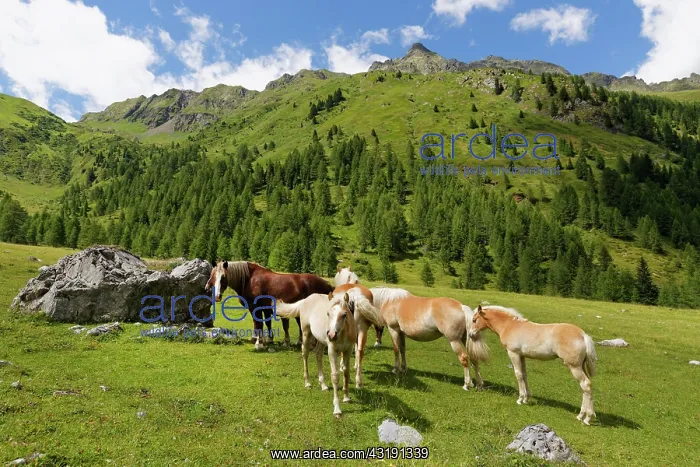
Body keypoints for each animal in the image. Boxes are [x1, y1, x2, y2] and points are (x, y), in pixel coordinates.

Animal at [205, 261, 333, 349]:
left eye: (223, 277)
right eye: (213, 275)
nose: (217, 296)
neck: (249, 280)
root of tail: (327, 284)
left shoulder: (256, 308)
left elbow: (259, 324)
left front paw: (259, 344)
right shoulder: (260, 309)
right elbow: (262, 323)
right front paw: (261, 339)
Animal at [355, 287, 489, 391]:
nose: (377, 343)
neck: (390, 301)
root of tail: (461, 306)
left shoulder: (394, 330)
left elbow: (396, 350)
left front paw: (396, 369)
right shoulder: (401, 332)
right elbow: (402, 349)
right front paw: (403, 368)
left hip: (454, 340)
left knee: (464, 358)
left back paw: (466, 384)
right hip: (465, 339)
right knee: (474, 359)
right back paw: (479, 384)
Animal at [469, 305, 598, 425]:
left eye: (474, 320)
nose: (470, 334)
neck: (509, 326)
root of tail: (583, 335)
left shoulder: (513, 354)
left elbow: (518, 374)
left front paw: (520, 399)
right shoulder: (522, 356)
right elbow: (524, 374)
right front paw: (526, 398)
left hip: (574, 367)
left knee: (585, 384)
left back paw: (586, 418)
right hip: (581, 366)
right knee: (586, 387)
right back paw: (582, 416)